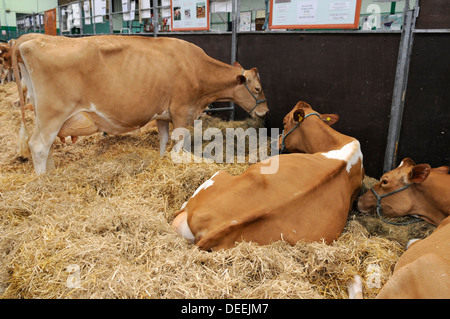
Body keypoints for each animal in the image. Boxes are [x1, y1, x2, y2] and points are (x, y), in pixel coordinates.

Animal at [12, 33, 268, 175]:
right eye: (257, 88)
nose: (266, 110)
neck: (196, 67)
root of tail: (29, 41)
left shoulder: (162, 114)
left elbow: (164, 139)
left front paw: (162, 159)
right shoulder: (181, 109)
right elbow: (179, 141)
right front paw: (176, 161)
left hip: (44, 115)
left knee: (46, 146)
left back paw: (51, 174)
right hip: (53, 113)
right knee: (38, 145)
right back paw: (43, 182)